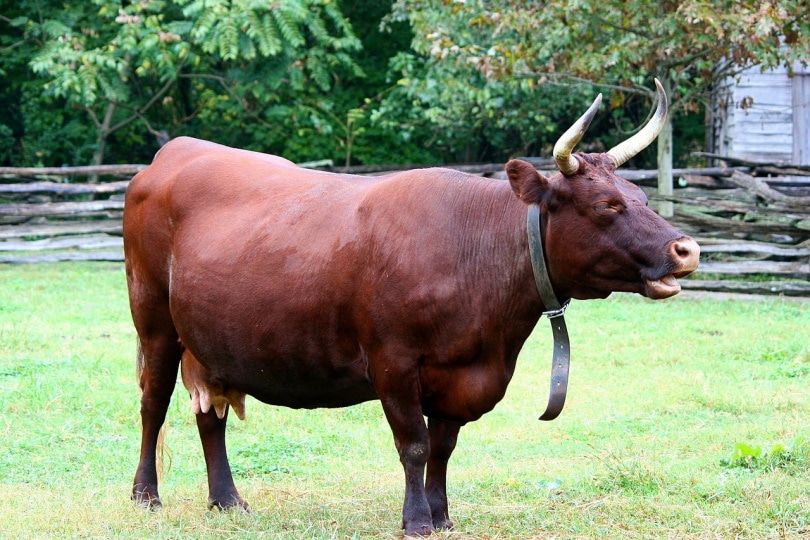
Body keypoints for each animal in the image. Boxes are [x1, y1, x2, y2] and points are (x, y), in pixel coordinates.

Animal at [124, 80, 696, 536]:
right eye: (607, 206)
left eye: (642, 197)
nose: (685, 249)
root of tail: (174, 152)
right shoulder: (393, 363)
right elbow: (414, 444)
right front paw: (417, 520)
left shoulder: (459, 375)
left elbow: (442, 447)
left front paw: (442, 516)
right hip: (154, 321)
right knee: (153, 404)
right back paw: (146, 496)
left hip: (210, 340)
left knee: (210, 414)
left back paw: (227, 500)